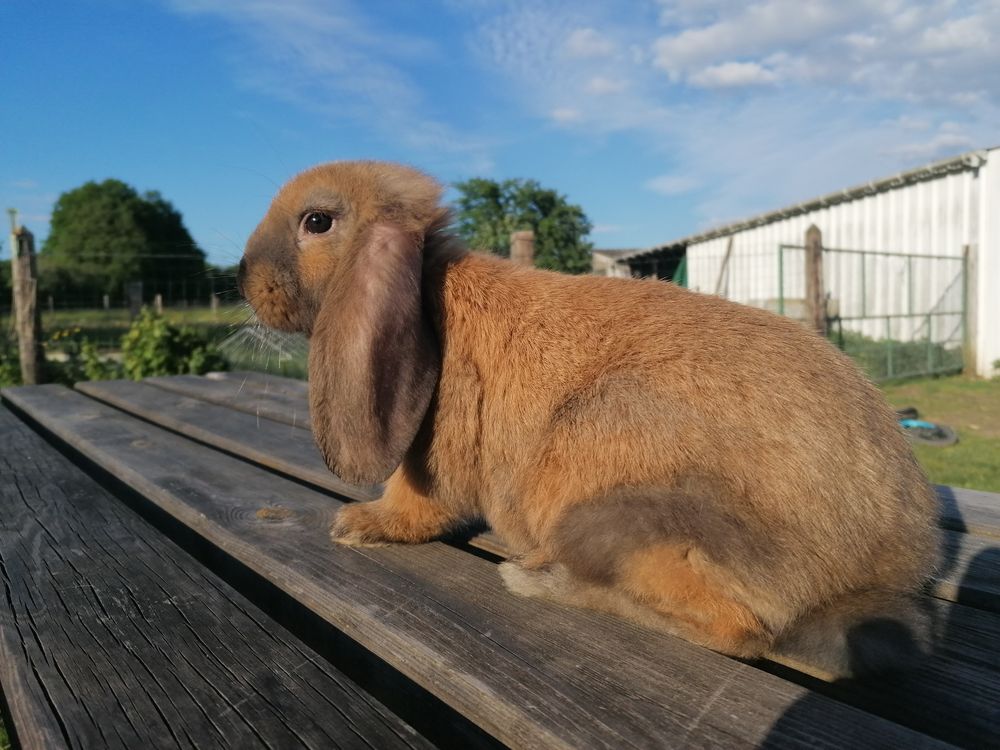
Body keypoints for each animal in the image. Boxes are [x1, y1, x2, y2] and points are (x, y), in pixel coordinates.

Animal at [238, 161, 940, 679]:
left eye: (317, 221)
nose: (242, 277)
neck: (433, 294)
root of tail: (869, 576)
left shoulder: (434, 458)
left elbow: (414, 502)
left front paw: (358, 525)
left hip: (612, 492)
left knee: (738, 631)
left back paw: (542, 582)